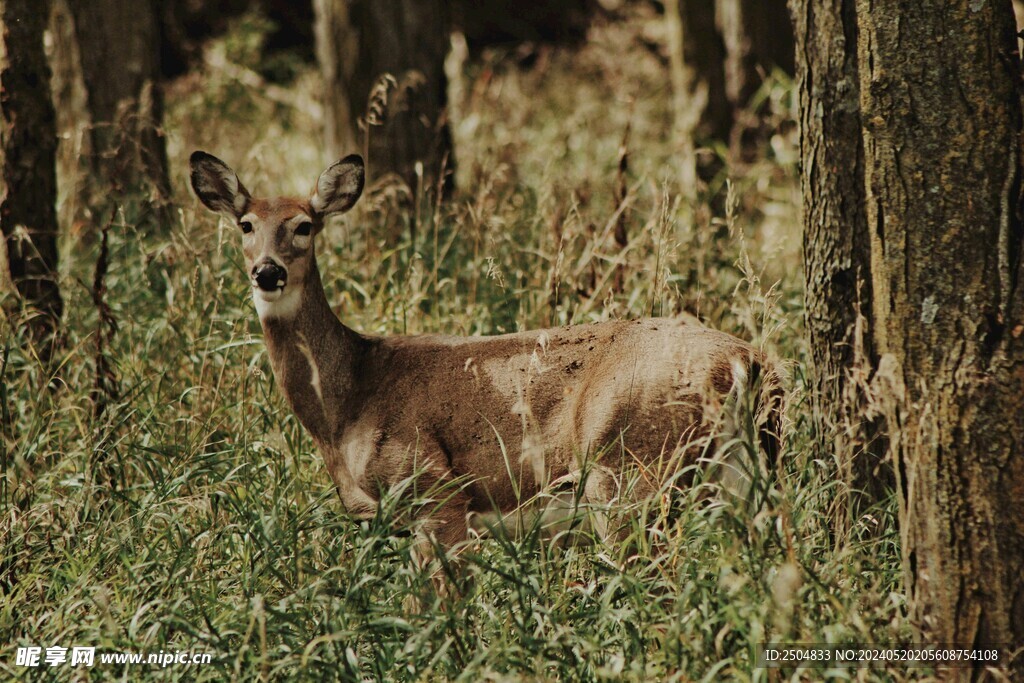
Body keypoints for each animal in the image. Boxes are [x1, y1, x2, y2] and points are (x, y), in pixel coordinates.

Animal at [189, 150, 782, 564]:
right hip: (741, 475)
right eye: (245, 225)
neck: (349, 402)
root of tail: (748, 363)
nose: (268, 271)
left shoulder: (437, 491)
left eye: (304, 225)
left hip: (630, 474)